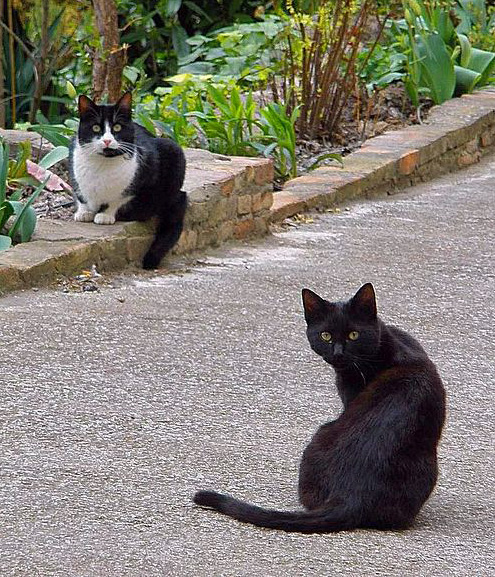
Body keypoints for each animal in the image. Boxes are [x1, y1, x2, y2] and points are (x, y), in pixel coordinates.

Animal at [69, 91, 187, 268]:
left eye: (117, 127)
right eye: (96, 127)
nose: (107, 140)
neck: (103, 164)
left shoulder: (144, 175)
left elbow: (119, 199)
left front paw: (105, 215)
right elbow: (81, 195)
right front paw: (84, 212)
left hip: (174, 151)